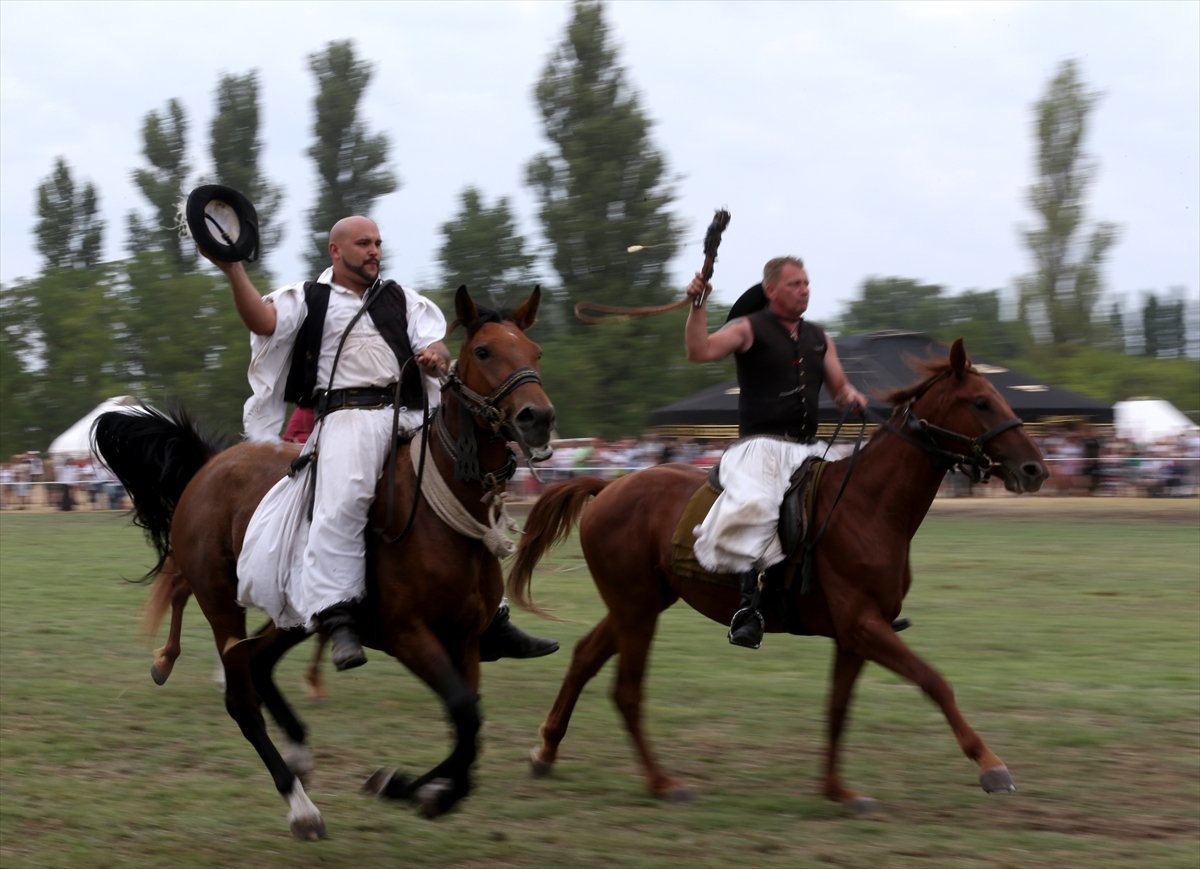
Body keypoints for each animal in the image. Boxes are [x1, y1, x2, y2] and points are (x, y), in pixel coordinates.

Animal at [93, 288, 552, 840]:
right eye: (483, 351)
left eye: (535, 351)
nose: (537, 418)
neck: (439, 518)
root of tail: (207, 466)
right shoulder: (408, 635)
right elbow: (464, 714)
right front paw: (409, 787)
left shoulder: (462, 639)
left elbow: (468, 724)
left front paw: (422, 789)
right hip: (221, 600)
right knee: (241, 697)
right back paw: (300, 806)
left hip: (293, 614)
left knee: (258, 662)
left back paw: (299, 750)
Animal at [508, 338, 1051, 806]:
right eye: (981, 402)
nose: (1035, 470)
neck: (869, 505)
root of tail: (608, 487)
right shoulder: (864, 625)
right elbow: (934, 681)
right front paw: (990, 764)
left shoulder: (855, 634)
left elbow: (837, 707)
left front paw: (837, 790)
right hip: (637, 609)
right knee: (625, 691)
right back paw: (662, 782)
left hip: (637, 604)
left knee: (584, 658)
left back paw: (546, 750)